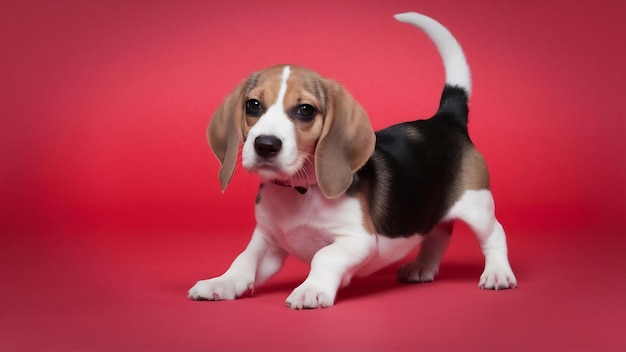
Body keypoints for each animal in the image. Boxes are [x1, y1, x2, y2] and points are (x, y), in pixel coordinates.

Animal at [189, 11, 516, 308]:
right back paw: (423, 267)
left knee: (495, 234)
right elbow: (244, 260)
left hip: (477, 204)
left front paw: (311, 289)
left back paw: (497, 273)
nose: (265, 145)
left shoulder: (357, 239)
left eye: (305, 110)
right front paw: (220, 284)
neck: (301, 190)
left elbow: (324, 255)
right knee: (438, 232)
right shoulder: (268, 241)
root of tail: (446, 119)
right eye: (253, 105)